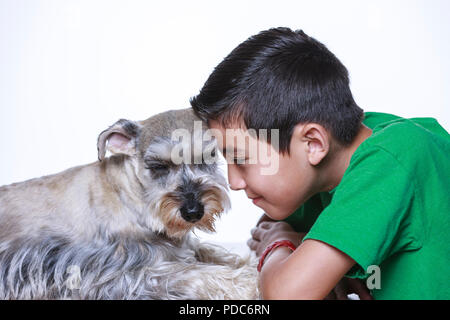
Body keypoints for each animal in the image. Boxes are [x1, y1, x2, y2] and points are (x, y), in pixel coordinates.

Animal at [0, 108, 258, 300]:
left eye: (209, 156)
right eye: (158, 166)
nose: (193, 211)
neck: (130, 196)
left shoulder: (180, 246)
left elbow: (216, 253)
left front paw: (251, 264)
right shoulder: (135, 270)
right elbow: (198, 275)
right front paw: (250, 282)